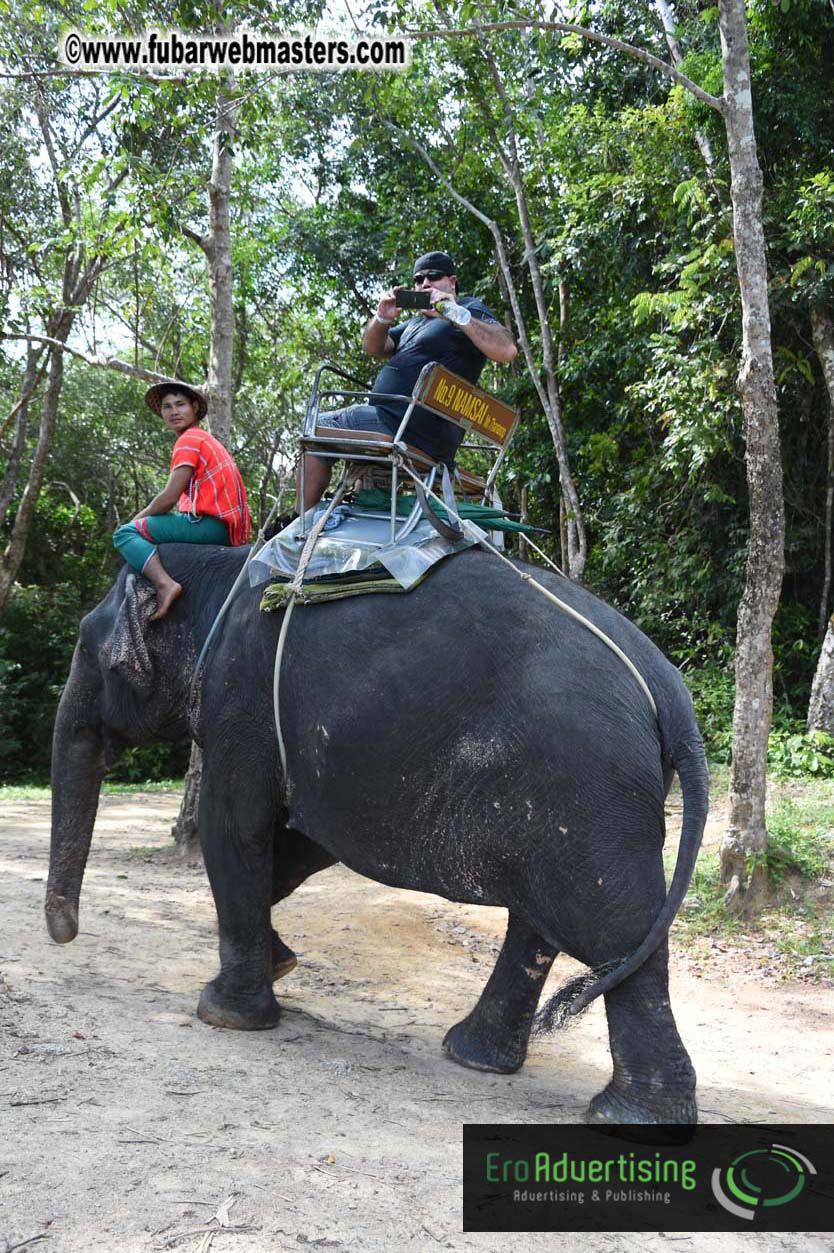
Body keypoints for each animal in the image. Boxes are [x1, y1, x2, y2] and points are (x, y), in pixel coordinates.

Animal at [46, 541, 708, 1124]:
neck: (219, 567)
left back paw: (625, 1116)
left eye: (84, 644)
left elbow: (234, 830)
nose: (64, 932)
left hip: (589, 788)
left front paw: (224, 1016)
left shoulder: (241, 701)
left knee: (614, 933)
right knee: (545, 924)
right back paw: (475, 1058)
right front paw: (281, 963)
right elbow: (297, 845)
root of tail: (671, 693)